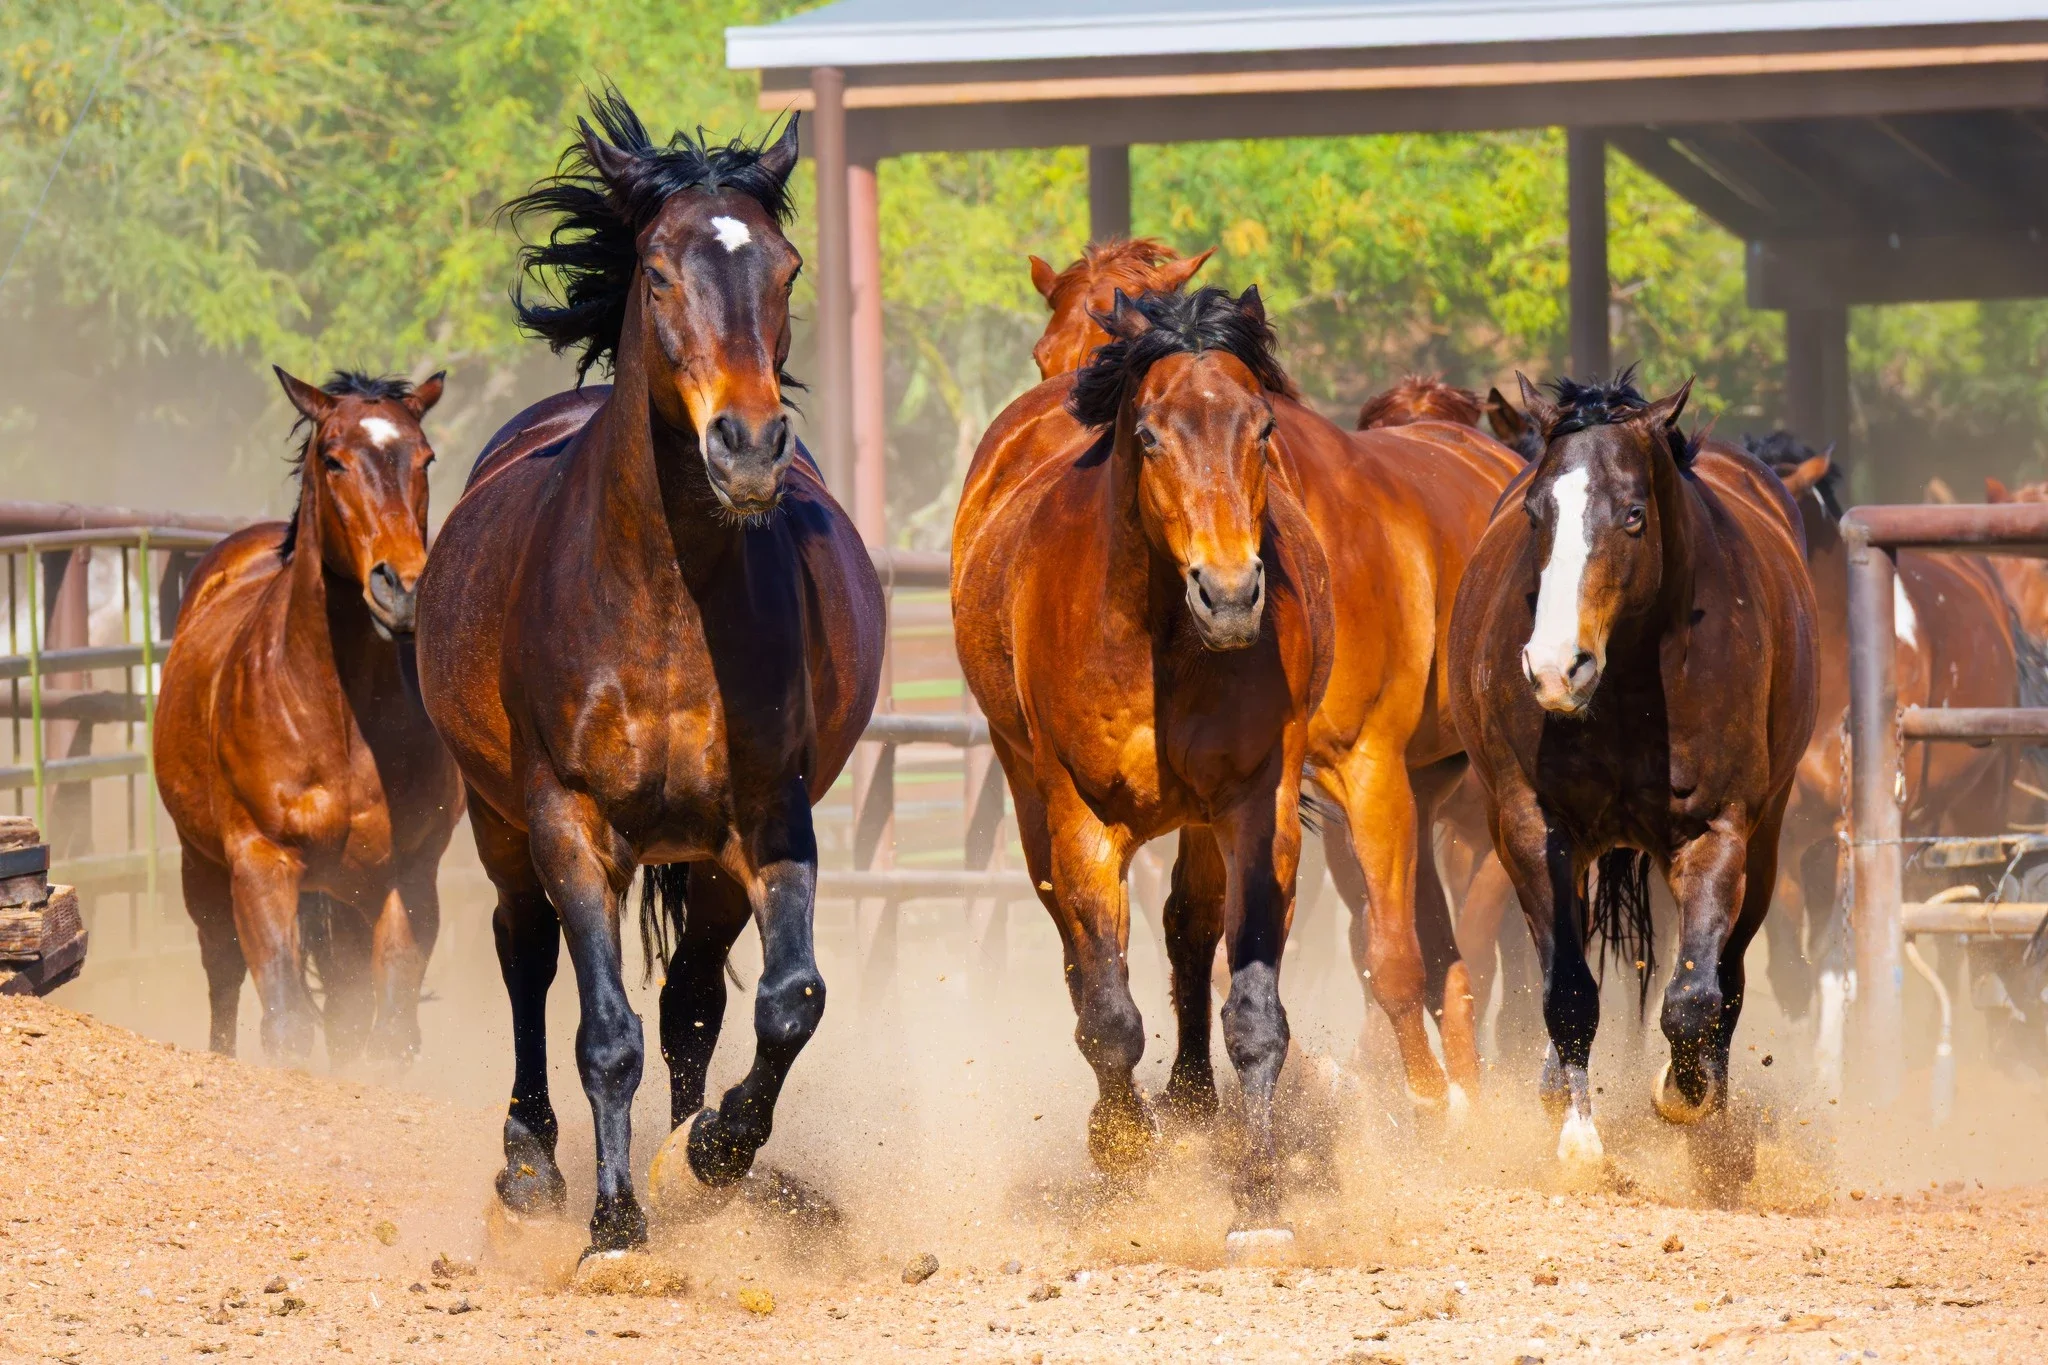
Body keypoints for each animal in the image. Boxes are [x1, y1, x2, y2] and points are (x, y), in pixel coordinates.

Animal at [155, 369, 461, 1066]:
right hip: (203, 870)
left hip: (345, 895)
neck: (340, 717)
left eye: (426, 458)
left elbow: (389, 1029)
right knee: (224, 980)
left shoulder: (410, 876)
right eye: (333, 459)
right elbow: (286, 1022)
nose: (403, 589)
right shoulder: (261, 864)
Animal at [413, 92, 884, 1255]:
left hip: (702, 866)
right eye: (661, 272)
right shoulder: (570, 821)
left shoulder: (769, 818)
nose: (748, 445)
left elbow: (787, 999)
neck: (667, 603)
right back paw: (532, 1162)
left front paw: (712, 1154)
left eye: (787, 268)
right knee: (526, 956)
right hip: (500, 822)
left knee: (693, 1005)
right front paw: (616, 1222)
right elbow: (604, 1031)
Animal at [954, 285, 1331, 1247]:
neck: (1160, 636)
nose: (1231, 595)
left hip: (1199, 819)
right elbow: (1109, 1015)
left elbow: (1252, 1008)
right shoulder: (1083, 819)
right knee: (1078, 950)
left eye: (1262, 428)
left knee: (1188, 930)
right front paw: (1124, 1151)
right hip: (1028, 796)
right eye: (1152, 435)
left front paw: (1257, 1193)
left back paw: (1196, 1106)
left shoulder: (1255, 809)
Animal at [1448, 372, 1818, 1178]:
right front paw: (1580, 1137)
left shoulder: (1718, 833)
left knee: (1728, 977)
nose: (1556, 667)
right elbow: (1568, 991)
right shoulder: (1534, 829)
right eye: (1535, 512)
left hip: (1768, 845)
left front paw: (1684, 1093)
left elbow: (1693, 997)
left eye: (1633, 515)